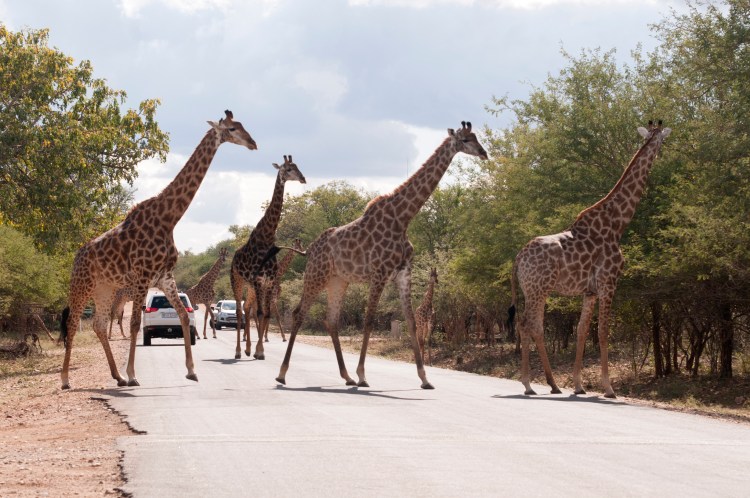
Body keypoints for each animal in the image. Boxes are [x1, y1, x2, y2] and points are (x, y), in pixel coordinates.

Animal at [59, 110, 257, 389]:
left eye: (242, 125)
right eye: (231, 129)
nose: (253, 143)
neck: (169, 219)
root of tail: (77, 256)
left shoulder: (165, 277)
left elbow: (184, 316)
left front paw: (191, 371)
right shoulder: (143, 277)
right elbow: (134, 324)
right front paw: (133, 375)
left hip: (104, 289)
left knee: (98, 324)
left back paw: (116, 376)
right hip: (81, 284)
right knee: (72, 322)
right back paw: (67, 380)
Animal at [231, 155, 306, 360]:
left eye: (297, 166)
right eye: (287, 169)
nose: (303, 178)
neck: (266, 237)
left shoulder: (268, 283)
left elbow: (266, 314)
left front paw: (259, 351)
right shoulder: (258, 281)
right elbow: (260, 312)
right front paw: (258, 350)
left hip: (250, 287)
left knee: (247, 309)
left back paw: (248, 348)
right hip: (238, 281)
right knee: (240, 312)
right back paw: (238, 351)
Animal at [276, 121, 488, 389]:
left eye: (476, 137)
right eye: (466, 139)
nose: (484, 153)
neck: (402, 218)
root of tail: (310, 249)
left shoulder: (403, 272)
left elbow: (411, 321)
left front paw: (424, 378)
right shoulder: (379, 273)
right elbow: (369, 320)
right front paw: (363, 375)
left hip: (338, 280)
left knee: (331, 320)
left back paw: (345, 376)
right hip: (316, 276)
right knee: (298, 314)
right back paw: (282, 374)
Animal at [508, 121, 672, 398]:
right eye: (662, 140)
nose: (662, 153)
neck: (618, 224)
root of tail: (518, 259)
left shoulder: (590, 290)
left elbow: (583, 330)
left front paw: (579, 385)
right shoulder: (609, 282)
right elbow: (603, 331)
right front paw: (609, 388)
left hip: (532, 290)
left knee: (528, 325)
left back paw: (550, 384)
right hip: (539, 289)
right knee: (531, 326)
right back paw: (532, 384)